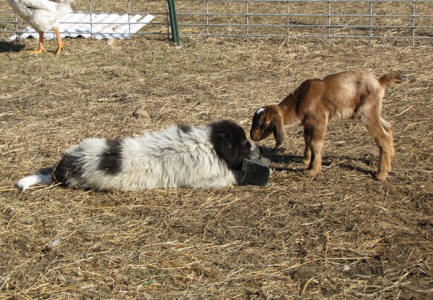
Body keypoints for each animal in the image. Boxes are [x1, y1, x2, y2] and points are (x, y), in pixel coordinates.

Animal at [16, 119, 258, 191]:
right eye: (244, 143)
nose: (256, 148)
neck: (209, 143)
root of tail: (62, 166)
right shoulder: (205, 179)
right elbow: (230, 176)